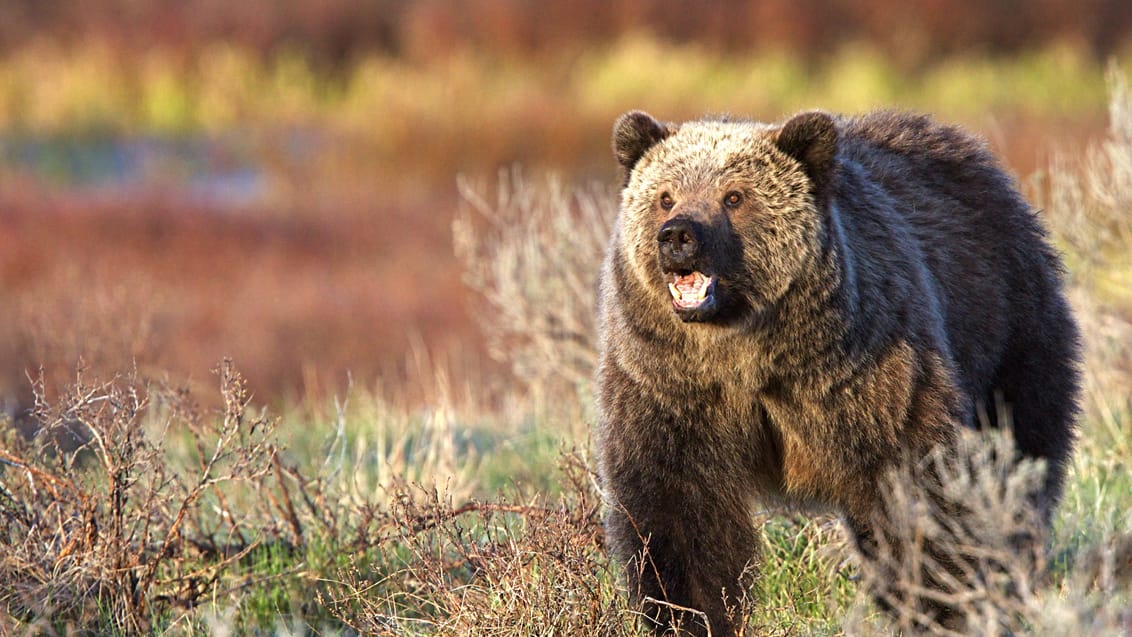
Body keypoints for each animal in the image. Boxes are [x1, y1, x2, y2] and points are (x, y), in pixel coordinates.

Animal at [593, 110, 1077, 637]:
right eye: (665, 196)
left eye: (734, 196)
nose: (678, 235)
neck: (749, 352)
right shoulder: (672, 388)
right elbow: (678, 512)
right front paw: (694, 614)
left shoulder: (864, 373)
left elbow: (915, 485)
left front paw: (941, 604)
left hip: (1008, 334)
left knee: (1019, 455)